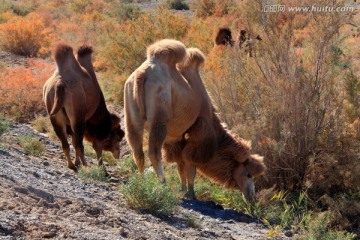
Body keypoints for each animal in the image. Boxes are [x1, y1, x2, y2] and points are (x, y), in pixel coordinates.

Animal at [43, 42, 124, 171]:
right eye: (117, 137)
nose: (118, 153)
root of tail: (60, 84)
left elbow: (73, 140)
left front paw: (77, 163)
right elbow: (96, 146)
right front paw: (102, 169)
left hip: (54, 113)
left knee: (65, 143)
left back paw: (71, 165)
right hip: (78, 115)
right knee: (79, 144)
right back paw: (86, 166)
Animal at [125, 39, 266, 201]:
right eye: (248, 174)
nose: (252, 197)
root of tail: (142, 73)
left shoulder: (176, 137)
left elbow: (180, 162)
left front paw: (183, 189)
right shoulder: (200, 128)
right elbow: (190, 163)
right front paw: (191, 193)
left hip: (131, 112)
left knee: (137, 150)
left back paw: (141, 183)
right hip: (159, 118)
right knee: (154, 152)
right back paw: (163, 185)